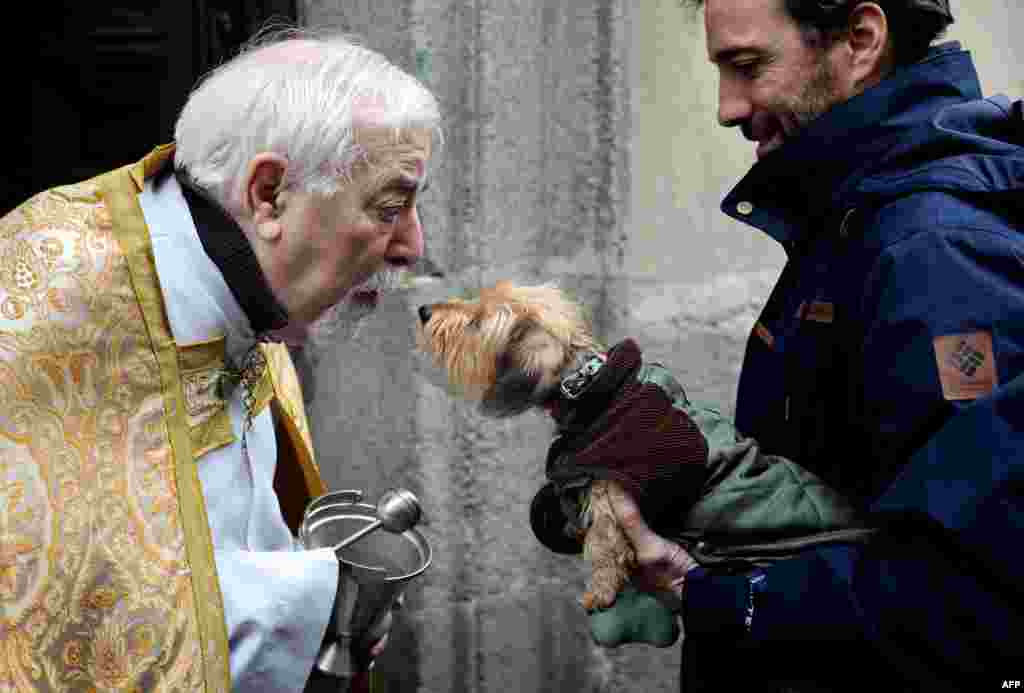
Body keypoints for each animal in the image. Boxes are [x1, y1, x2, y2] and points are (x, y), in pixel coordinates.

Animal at [417, 278, 712, 610]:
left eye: (477, 322)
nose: (424, 311)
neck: (585, 384)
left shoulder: (610, 488)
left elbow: (603, 543)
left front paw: (600, 591)